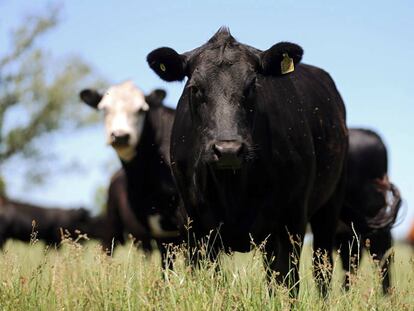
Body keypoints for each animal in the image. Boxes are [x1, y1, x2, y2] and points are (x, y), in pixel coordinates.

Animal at [147, 27, 348, 298]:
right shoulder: (195, 225)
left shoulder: (292, 219)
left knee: (321, 268)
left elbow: (288, 283)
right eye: (195, 88)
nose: (228, 150)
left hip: (329, 206)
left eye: (252, 85)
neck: (233, 189)